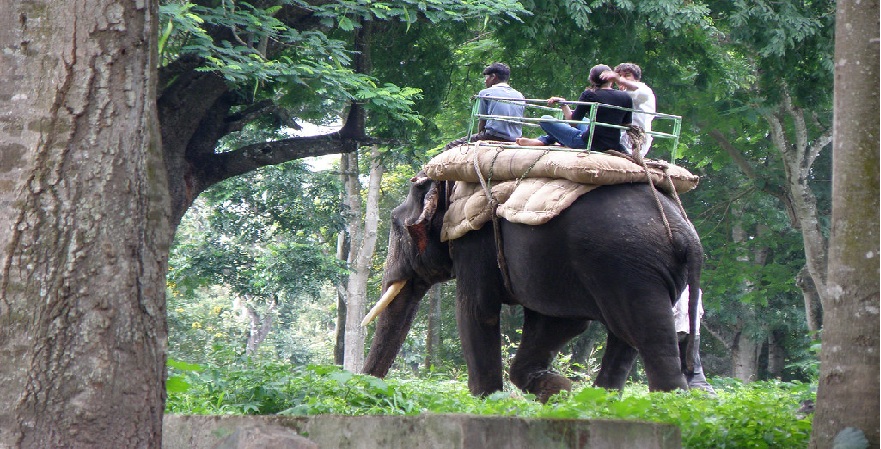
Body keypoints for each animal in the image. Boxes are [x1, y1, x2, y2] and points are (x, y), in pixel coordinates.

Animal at [360, 173, 700, 400]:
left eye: (396, 226)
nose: (366, 388)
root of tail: (687, 235)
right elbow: (559, 323)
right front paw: (558, 390)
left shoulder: (474, 241)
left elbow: (476, 310)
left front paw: (489, 401)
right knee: (627, 339)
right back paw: (600, 403)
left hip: (628, 269)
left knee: (646, 335)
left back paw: (668, 405)